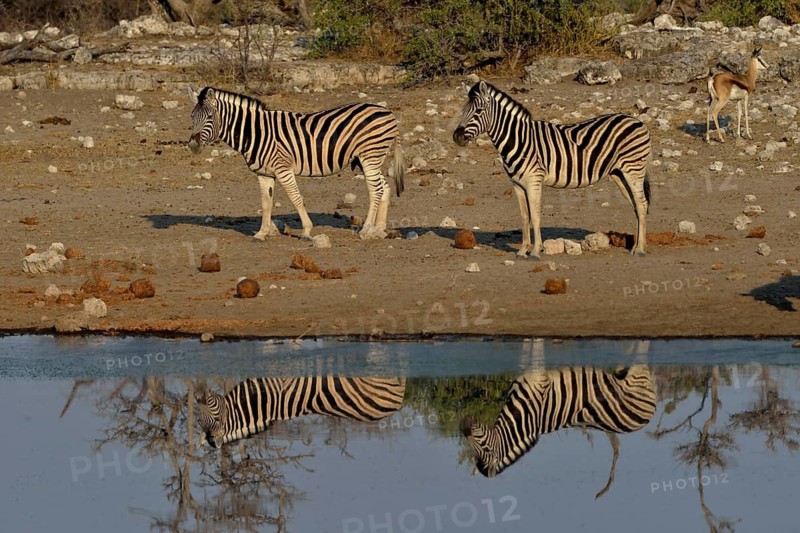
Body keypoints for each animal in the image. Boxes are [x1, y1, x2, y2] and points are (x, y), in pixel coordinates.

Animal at [188, 87, 405, 241]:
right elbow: (266, 203)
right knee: (385, 187)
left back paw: (366, 230)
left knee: (376, 190)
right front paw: (262, 233)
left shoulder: (283, 168)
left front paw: (307, 230)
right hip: (366, 159)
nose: (192, 145)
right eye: (191, 117)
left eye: (209, 117)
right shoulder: (264, 173)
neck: (256, 132)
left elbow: (295, 197)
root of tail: (386, 111)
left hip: (370, 156)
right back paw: (379, 229)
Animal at [453, 80, 652, 258]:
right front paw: (522, 250)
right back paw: (635, 246)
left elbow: (535, 216)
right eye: (463, 111)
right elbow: (524, 216)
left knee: (642, 204)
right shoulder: (517, 184)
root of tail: (636, 120)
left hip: (634, 169)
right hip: (619, 173)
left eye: (478, 111)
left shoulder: (534, 180)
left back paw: (641, 250)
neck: (519, 139)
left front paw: (535, 251)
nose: (457, 137)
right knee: (636, 205)